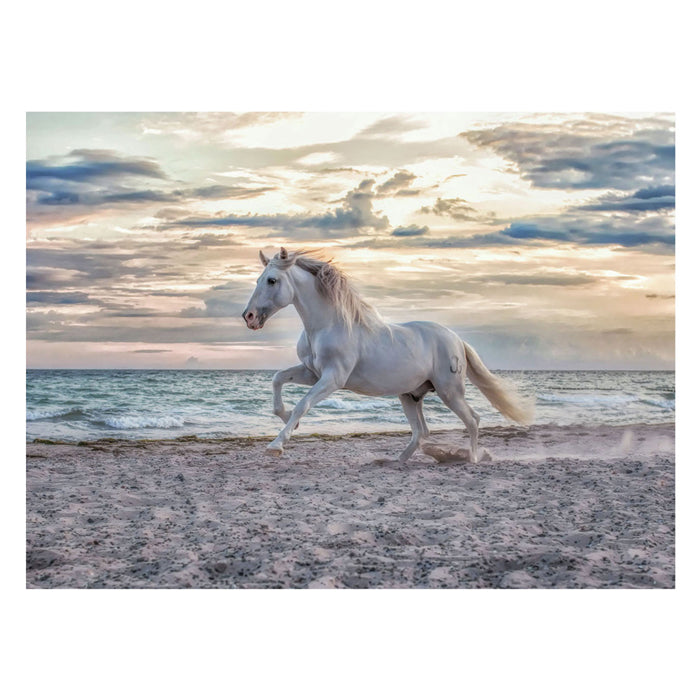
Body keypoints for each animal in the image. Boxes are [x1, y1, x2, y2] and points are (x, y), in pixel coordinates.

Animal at [242, 247, 533, 462]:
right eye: (257, 280)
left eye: (272, 280)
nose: (249, 317)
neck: (328, 325)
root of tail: (456, 339)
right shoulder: (312, 373)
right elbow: (278, 380)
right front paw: (287, 420)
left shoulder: (333, 378)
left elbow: (303, 404)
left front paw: (277, 445)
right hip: (410, 395)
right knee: (421, 431)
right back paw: (397, 460)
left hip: (449, 391)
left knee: (472, 419)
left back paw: (472, 459)